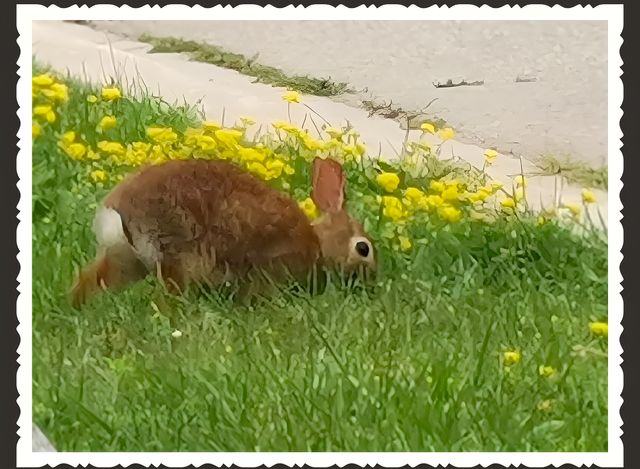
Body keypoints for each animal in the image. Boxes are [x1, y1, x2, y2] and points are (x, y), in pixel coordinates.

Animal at [71, 156, 376, 308]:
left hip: (128, 259)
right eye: (363, 248)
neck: (319, 244)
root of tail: (120, 210)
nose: (371, 280)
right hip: (175, 254)